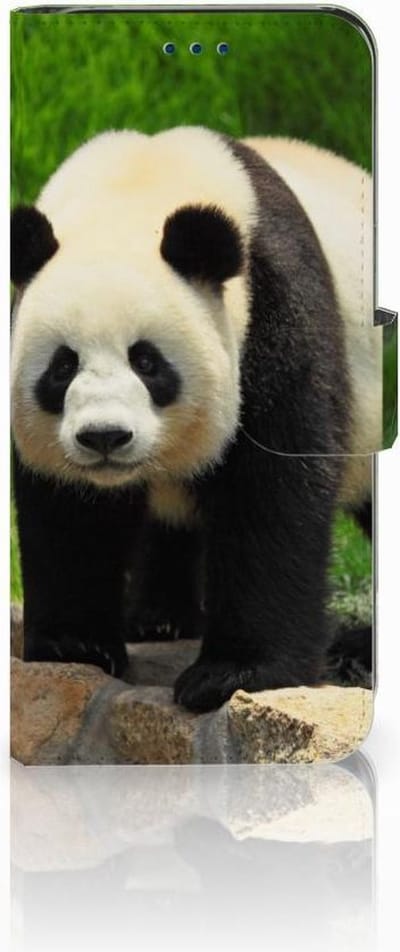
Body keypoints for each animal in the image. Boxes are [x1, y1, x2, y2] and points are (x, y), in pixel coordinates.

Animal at [10, 126, 380, 712]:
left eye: (147, 361)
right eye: (62, 366)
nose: (105, 437)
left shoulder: (274, 310)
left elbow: (273, 490)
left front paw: (232, 674)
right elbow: (69, 510)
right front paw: (76, 645)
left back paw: (357, 651)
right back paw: (159, 618)